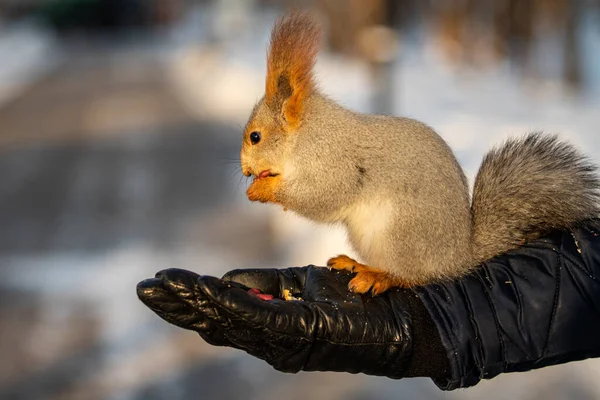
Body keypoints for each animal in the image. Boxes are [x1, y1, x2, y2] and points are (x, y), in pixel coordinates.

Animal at [239, 12, 600, 296]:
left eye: (255, 137)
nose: (244, 170)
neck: (304, 136)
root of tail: (458, 257)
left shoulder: (332, 161)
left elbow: (321, 196)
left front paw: (262, 189)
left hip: (399, 231)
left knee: (414, 277)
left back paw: (378, 276)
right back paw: (354, 263)